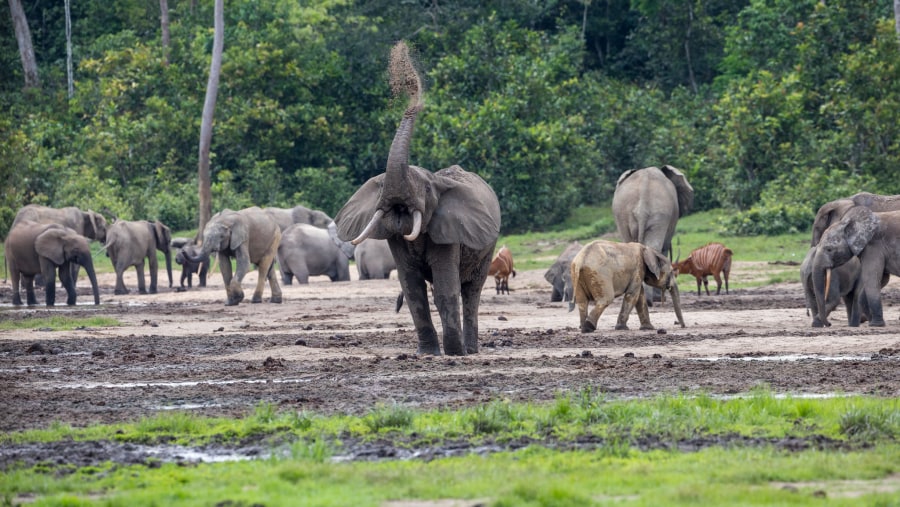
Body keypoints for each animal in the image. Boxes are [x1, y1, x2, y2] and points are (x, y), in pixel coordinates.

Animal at [334, 40, 500, 358]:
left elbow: (446, 287)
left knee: (471, 290)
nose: (413, 88)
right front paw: (429, 354)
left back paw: (470, 350)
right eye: (382, 186)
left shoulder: (449, 230)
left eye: (424, 191)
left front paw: (453, 353)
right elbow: (412, 288)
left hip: (488, 247)